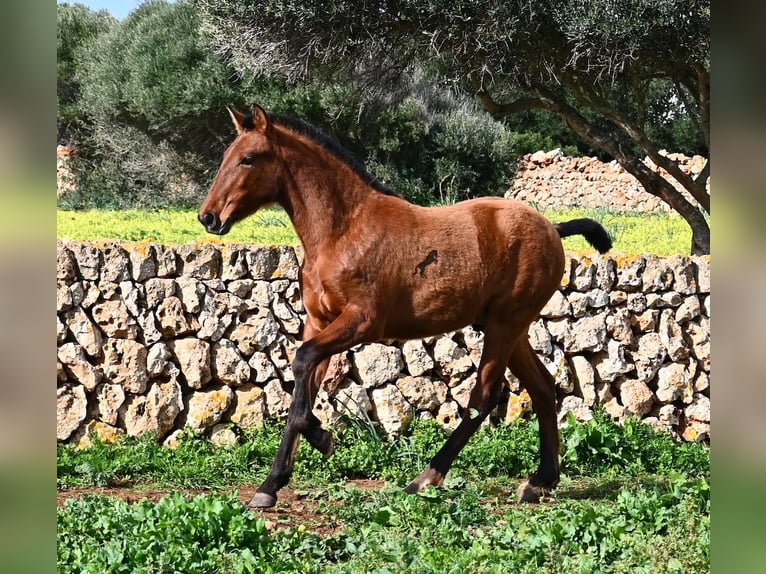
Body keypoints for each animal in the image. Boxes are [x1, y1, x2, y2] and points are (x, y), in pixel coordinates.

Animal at [201, 104, 616, 508]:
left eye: (248, 159)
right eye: (226, 156)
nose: (209, 217)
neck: (343, 231)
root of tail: (552, 228)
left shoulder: (362, 322)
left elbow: (302, 364)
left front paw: (323, 438)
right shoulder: (318, 322)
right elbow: (302, 389)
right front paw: (270, 485)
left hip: (505, 325)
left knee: (484, 398)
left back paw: (426, 478)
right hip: (509, 328)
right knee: (543, 388)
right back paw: (540, 482)